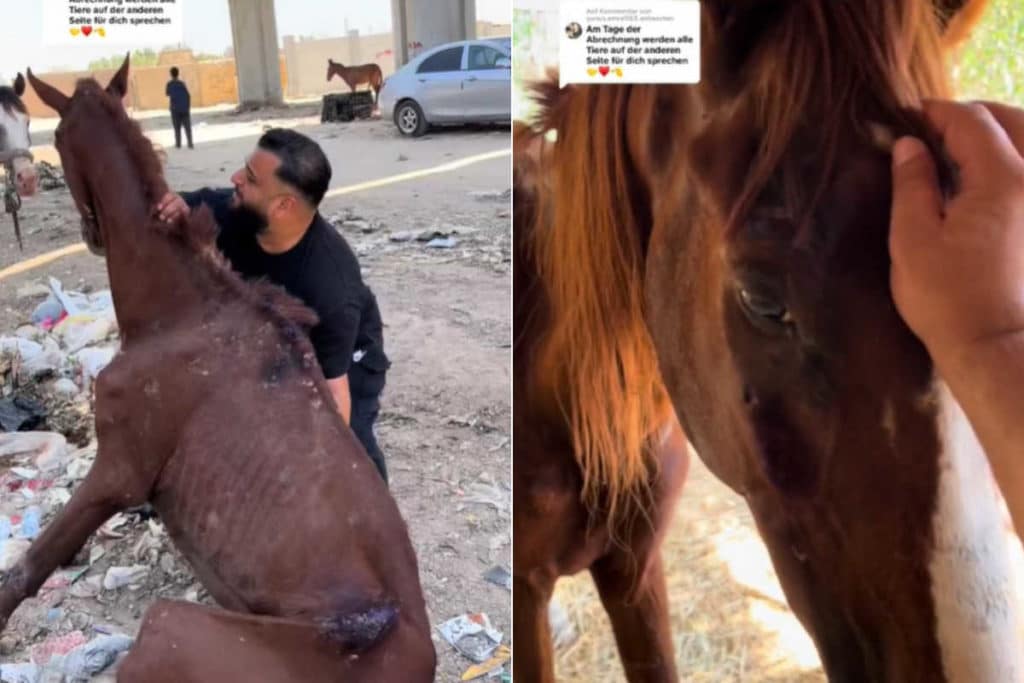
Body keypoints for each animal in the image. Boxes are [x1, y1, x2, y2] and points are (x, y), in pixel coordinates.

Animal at [0, 56, 435, 682]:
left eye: (53, 137)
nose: (91, 233)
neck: (183, 312)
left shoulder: (118, 471)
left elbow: (25, 571)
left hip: (166, 627)